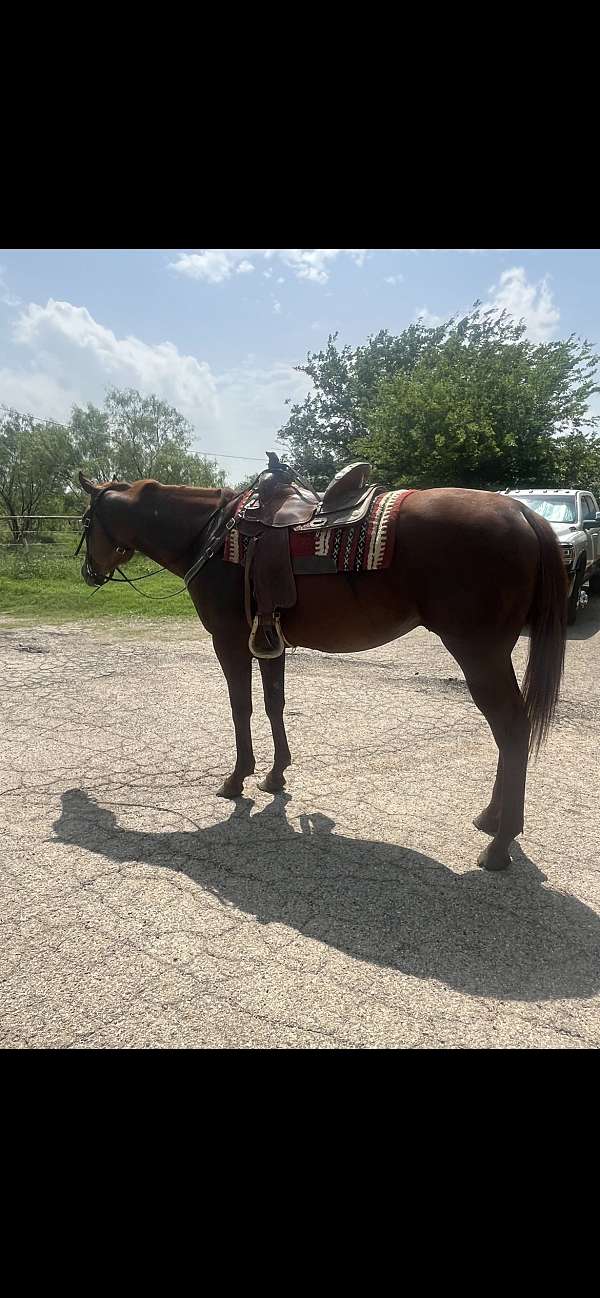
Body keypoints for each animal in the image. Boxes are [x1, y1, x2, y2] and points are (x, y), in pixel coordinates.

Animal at [76, 469, 567, 872]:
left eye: (85, 522)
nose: (88, 572)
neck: (212, 536)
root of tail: (524, 512)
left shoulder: (229, 642)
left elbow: (241, 708)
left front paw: (237, 779)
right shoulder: (268, 640)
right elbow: (274, 704)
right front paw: (276, 774)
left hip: (479, 653)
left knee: (512, 729)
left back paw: (500, 844)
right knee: (509, 732)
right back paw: (492, 820)